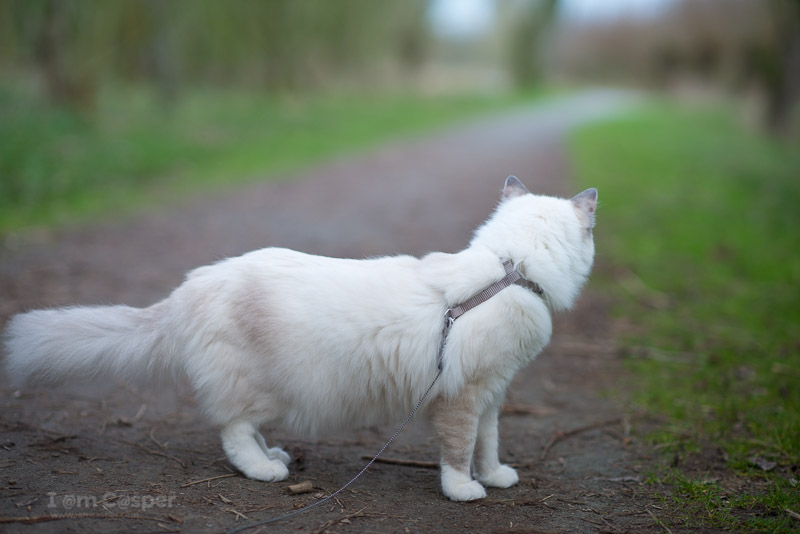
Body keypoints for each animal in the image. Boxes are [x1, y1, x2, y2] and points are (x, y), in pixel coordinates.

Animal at [4, 178, 592, 504]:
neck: (510, 271)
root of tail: (194, 284)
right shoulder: (462, 397)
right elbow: (457, 451)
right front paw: (465, 491)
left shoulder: (493, 394)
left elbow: (488, 444)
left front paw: (495, 478)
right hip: (264, 387)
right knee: (233, 432)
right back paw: (265, 469)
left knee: (245, 430)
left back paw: (276, 456)